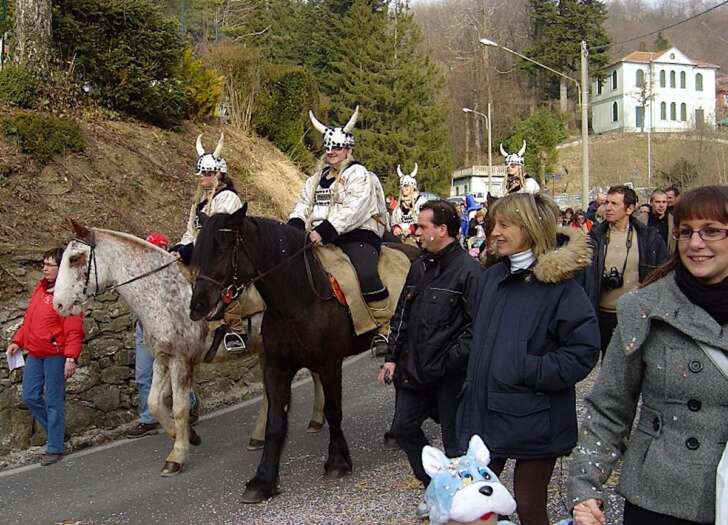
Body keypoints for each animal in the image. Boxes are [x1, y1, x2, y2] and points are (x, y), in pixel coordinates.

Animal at [191, 204, 412, 500]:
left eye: (223, 248)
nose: (198, 305)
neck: (300, 298)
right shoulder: (276, 367)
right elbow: (275, 423)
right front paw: (263, 481)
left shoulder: (330, 364)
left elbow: (333, 411)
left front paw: (337, 461)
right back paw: (396, 432)